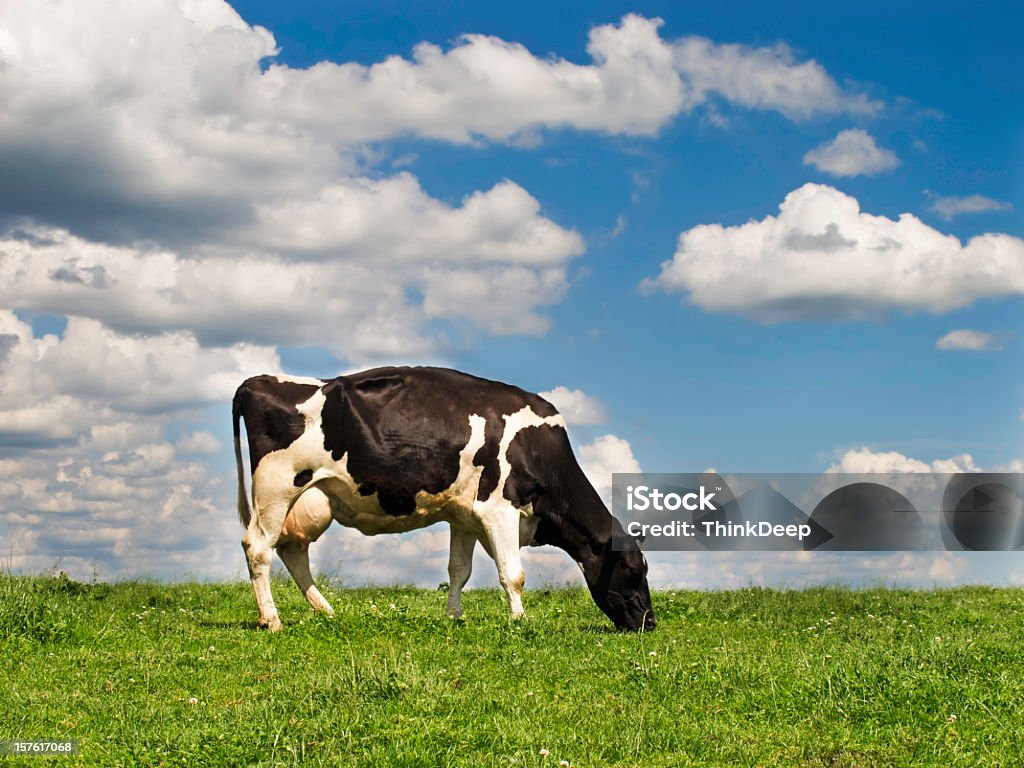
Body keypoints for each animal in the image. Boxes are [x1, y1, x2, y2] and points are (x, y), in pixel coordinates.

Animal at [232, 366, 655, 630]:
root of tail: (255, 381)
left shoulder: (463, 515)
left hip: (309, 500)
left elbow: (459, 571)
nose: (651, 623)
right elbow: (513, 574)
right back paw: (272, 620)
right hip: (276, 485)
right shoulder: (500, 508)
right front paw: (520, 620)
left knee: (292, 550)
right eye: (635, 570)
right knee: (259, 547)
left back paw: (326, 610)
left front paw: (454, 616)